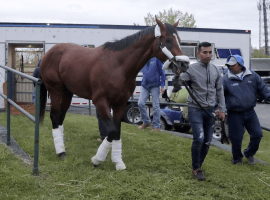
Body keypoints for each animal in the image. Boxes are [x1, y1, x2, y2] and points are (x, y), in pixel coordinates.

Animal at [39, 17, 190, 170]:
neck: (118, 65)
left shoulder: (120, 103)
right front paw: (97, 159)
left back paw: (62, 148)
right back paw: (61, 152)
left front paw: (118, 161)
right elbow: (111, 131)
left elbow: (116, 131)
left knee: (60, 117)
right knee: (54, 116)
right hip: (55, 90)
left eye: (179, 40)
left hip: (67, 93)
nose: (185, 64)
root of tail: (49, 53)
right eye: (168, 40)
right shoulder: (100, 101)